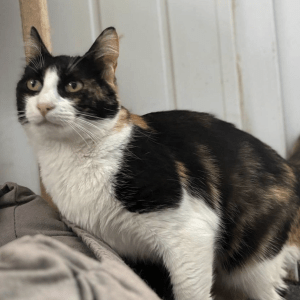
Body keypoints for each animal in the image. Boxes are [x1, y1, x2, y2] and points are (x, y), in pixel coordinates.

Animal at [16, 27, 300, 298]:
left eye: (73, 86)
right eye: (33, 84)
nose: (43, 106)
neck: (71, 154)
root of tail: (288, 168)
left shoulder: (192, 232)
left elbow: (189, 290)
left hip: (251, 261)